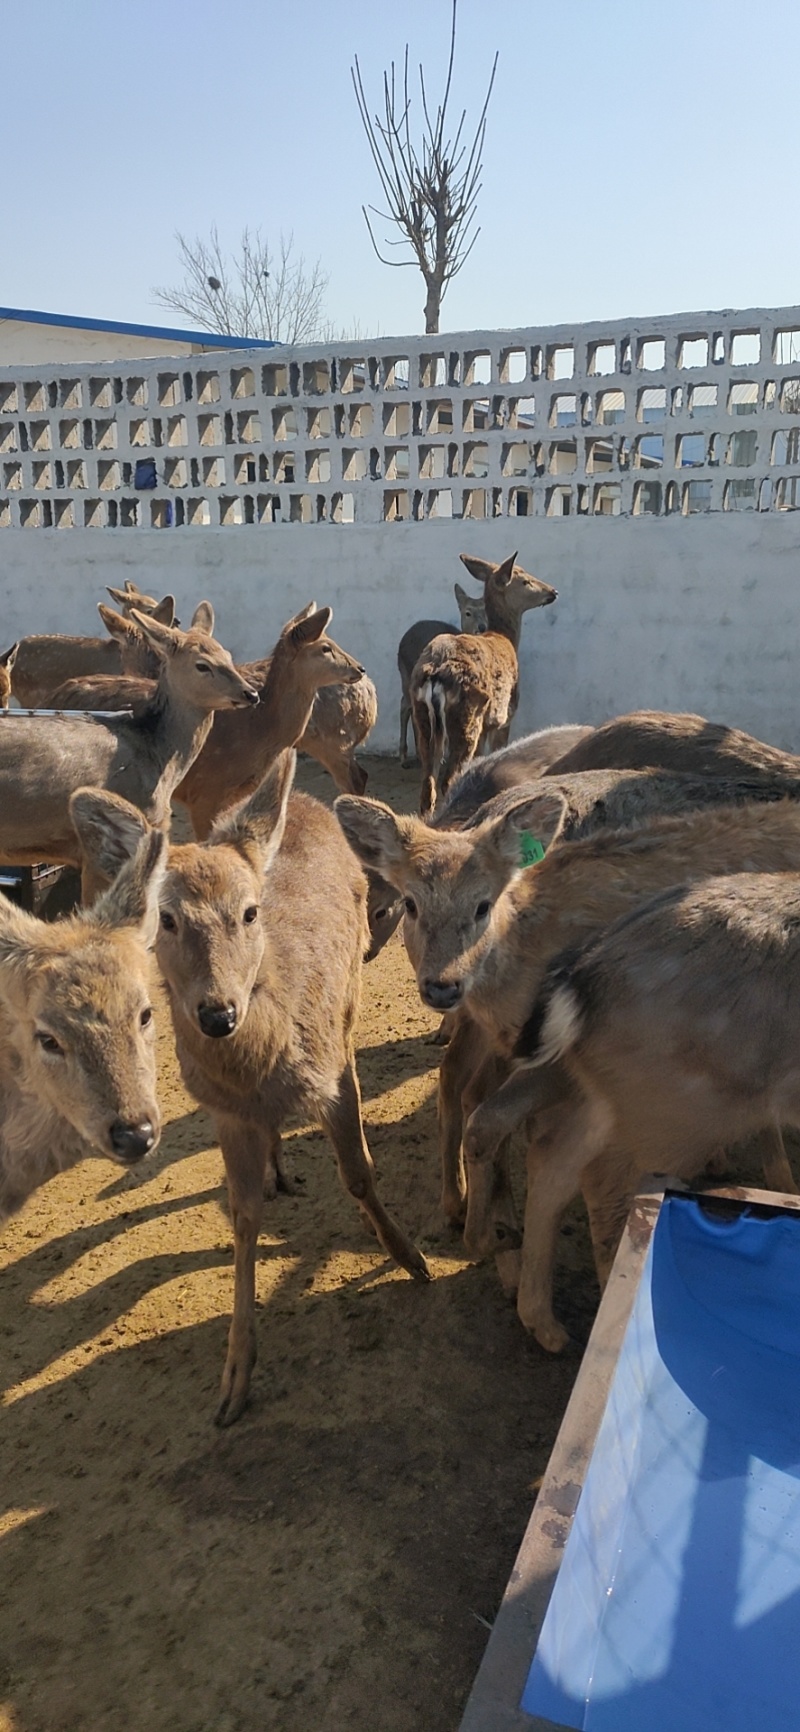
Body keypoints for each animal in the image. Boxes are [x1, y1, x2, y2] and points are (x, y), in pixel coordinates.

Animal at [71, 751, 431, 1427]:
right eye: (165, 918)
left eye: (249, 911)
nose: (218, 1013)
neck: (263, 1065)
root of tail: (309, 803)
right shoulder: (224, 1112)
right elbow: (241, 1221)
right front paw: (234, 1378)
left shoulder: (333, 1071)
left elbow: (359, 1172)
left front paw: (408, 1257)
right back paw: (276, 1168)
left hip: (353, 990)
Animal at [336, 781, 800, 1280]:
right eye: (411, 903)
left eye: (483, 905)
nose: (443, 986)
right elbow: (487, 1122)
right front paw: (491, 1232)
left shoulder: (575, 1062)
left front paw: (495, 1237)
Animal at [398, 581, 487, 767]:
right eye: (468, 612)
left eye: (485, 610)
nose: (481, 627)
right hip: (406, 675)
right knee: (406, 707)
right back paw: (404, 756)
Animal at [410, 551, 557, 817]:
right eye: (525, 580)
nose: (553, 591)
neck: (502, 636)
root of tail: (435, 674)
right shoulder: (503, 716)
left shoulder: (486, 725)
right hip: (467, 717)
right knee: (448, 779)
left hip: (423, 717)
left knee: (428, 785)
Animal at [509, 870, 800, 1352]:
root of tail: (581, 976)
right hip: (679, 1115)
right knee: (611, 1191)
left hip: (618, 1095)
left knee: (553, 1161)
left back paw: (544, 1325)